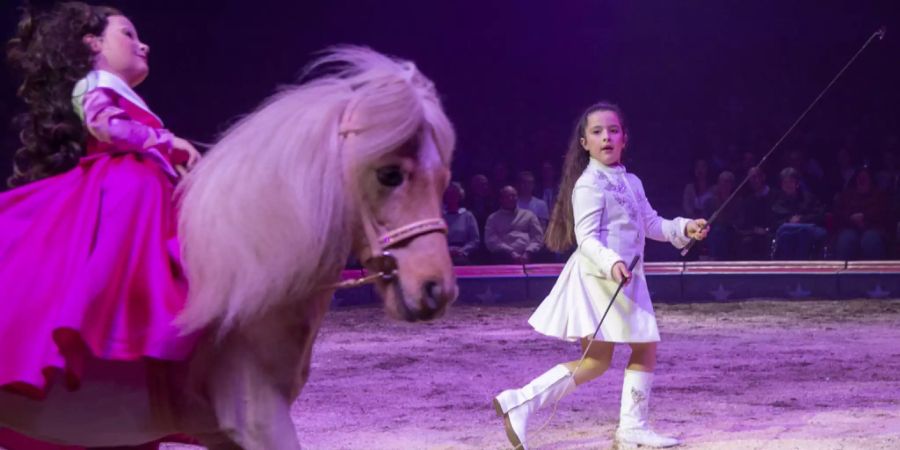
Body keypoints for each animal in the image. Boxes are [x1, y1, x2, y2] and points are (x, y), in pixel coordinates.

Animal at [0, 46, 460, 450]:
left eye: (443, 179)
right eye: (389, 175)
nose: (437, 289)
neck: (242, 264)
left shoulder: (223, 433)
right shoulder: (260, 421)